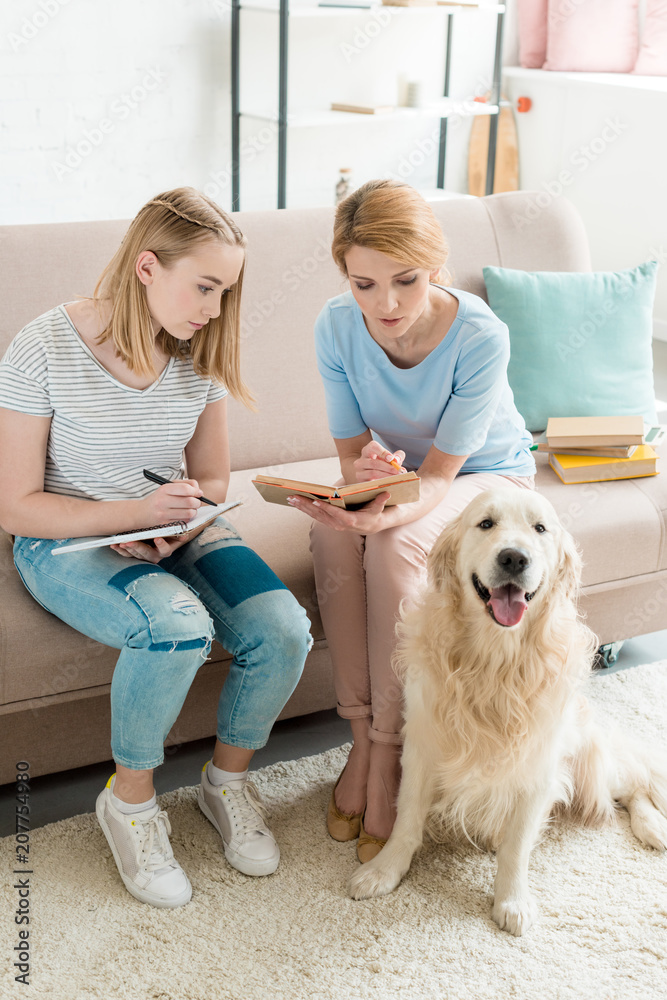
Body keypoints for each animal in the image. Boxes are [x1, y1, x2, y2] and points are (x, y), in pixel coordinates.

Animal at [350, 488, 667, 932]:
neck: (493, 661)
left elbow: (516, 846)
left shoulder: (537, 765)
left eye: (540, 528)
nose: (515, 558)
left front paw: (512, 900)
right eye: (486, 523)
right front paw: (384, 869)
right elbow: (406, 819)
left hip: (591, 763)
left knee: (635, 781)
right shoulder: (423, 746)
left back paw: (653, 826)